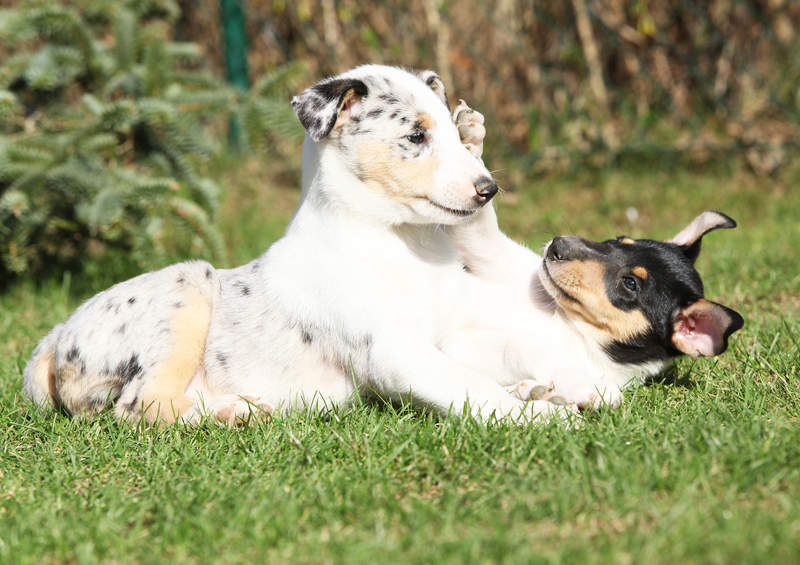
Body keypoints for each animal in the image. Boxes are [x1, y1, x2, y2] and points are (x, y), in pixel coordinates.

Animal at [23, 65, 576, 424]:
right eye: (416, 136)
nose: (488, 189)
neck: (401, 242)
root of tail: (52, 340)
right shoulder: (395, 352)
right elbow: (469, 385)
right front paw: (546, 420)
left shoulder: (453, 333)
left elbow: (492, 357)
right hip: (186, 286)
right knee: (141, 406)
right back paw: (234, 412)